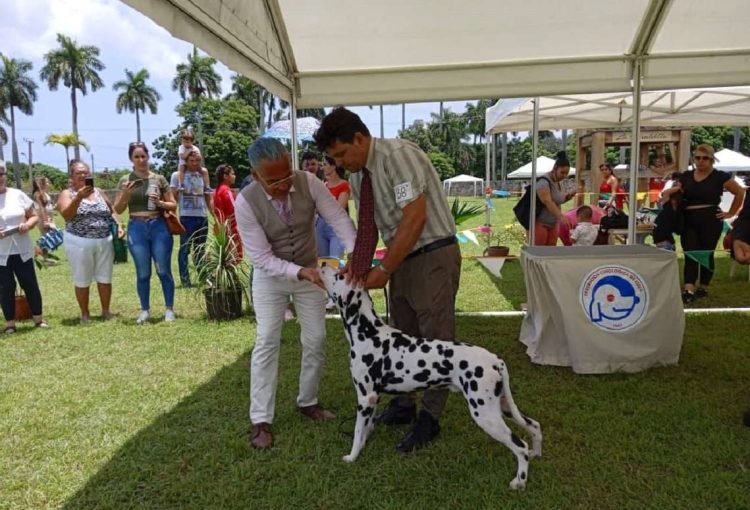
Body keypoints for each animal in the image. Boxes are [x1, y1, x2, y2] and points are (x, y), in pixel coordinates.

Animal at [320, 264, 544, 488]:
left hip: (486, 414)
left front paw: (352, 457)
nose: (322, 265)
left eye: (339, 276)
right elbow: (366, 428)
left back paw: (519, 481)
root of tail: (496, 361)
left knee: (520, 445)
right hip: (502, 407)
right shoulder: (373, 398)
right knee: (534, 425)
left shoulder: (365, 398)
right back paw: (537, 453)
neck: (368, 334)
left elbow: (358, 432)